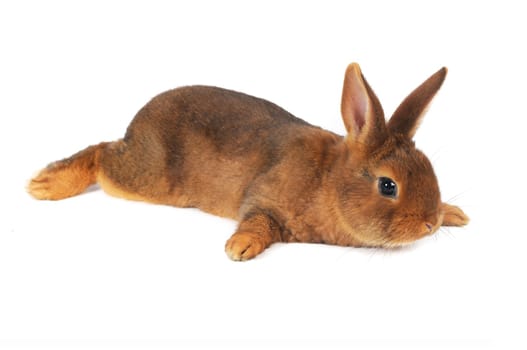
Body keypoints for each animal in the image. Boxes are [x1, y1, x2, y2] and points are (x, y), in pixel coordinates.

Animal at [27, 63, 470, 260]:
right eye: (388, 185)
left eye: (430, 169)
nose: (429, 223)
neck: (329, 181)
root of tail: (137, 122)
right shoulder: (264, 200)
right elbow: (259, 221)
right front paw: (239, 246)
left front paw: (455, 214)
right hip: (147, 179)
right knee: (102, 153)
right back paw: (46, 184)